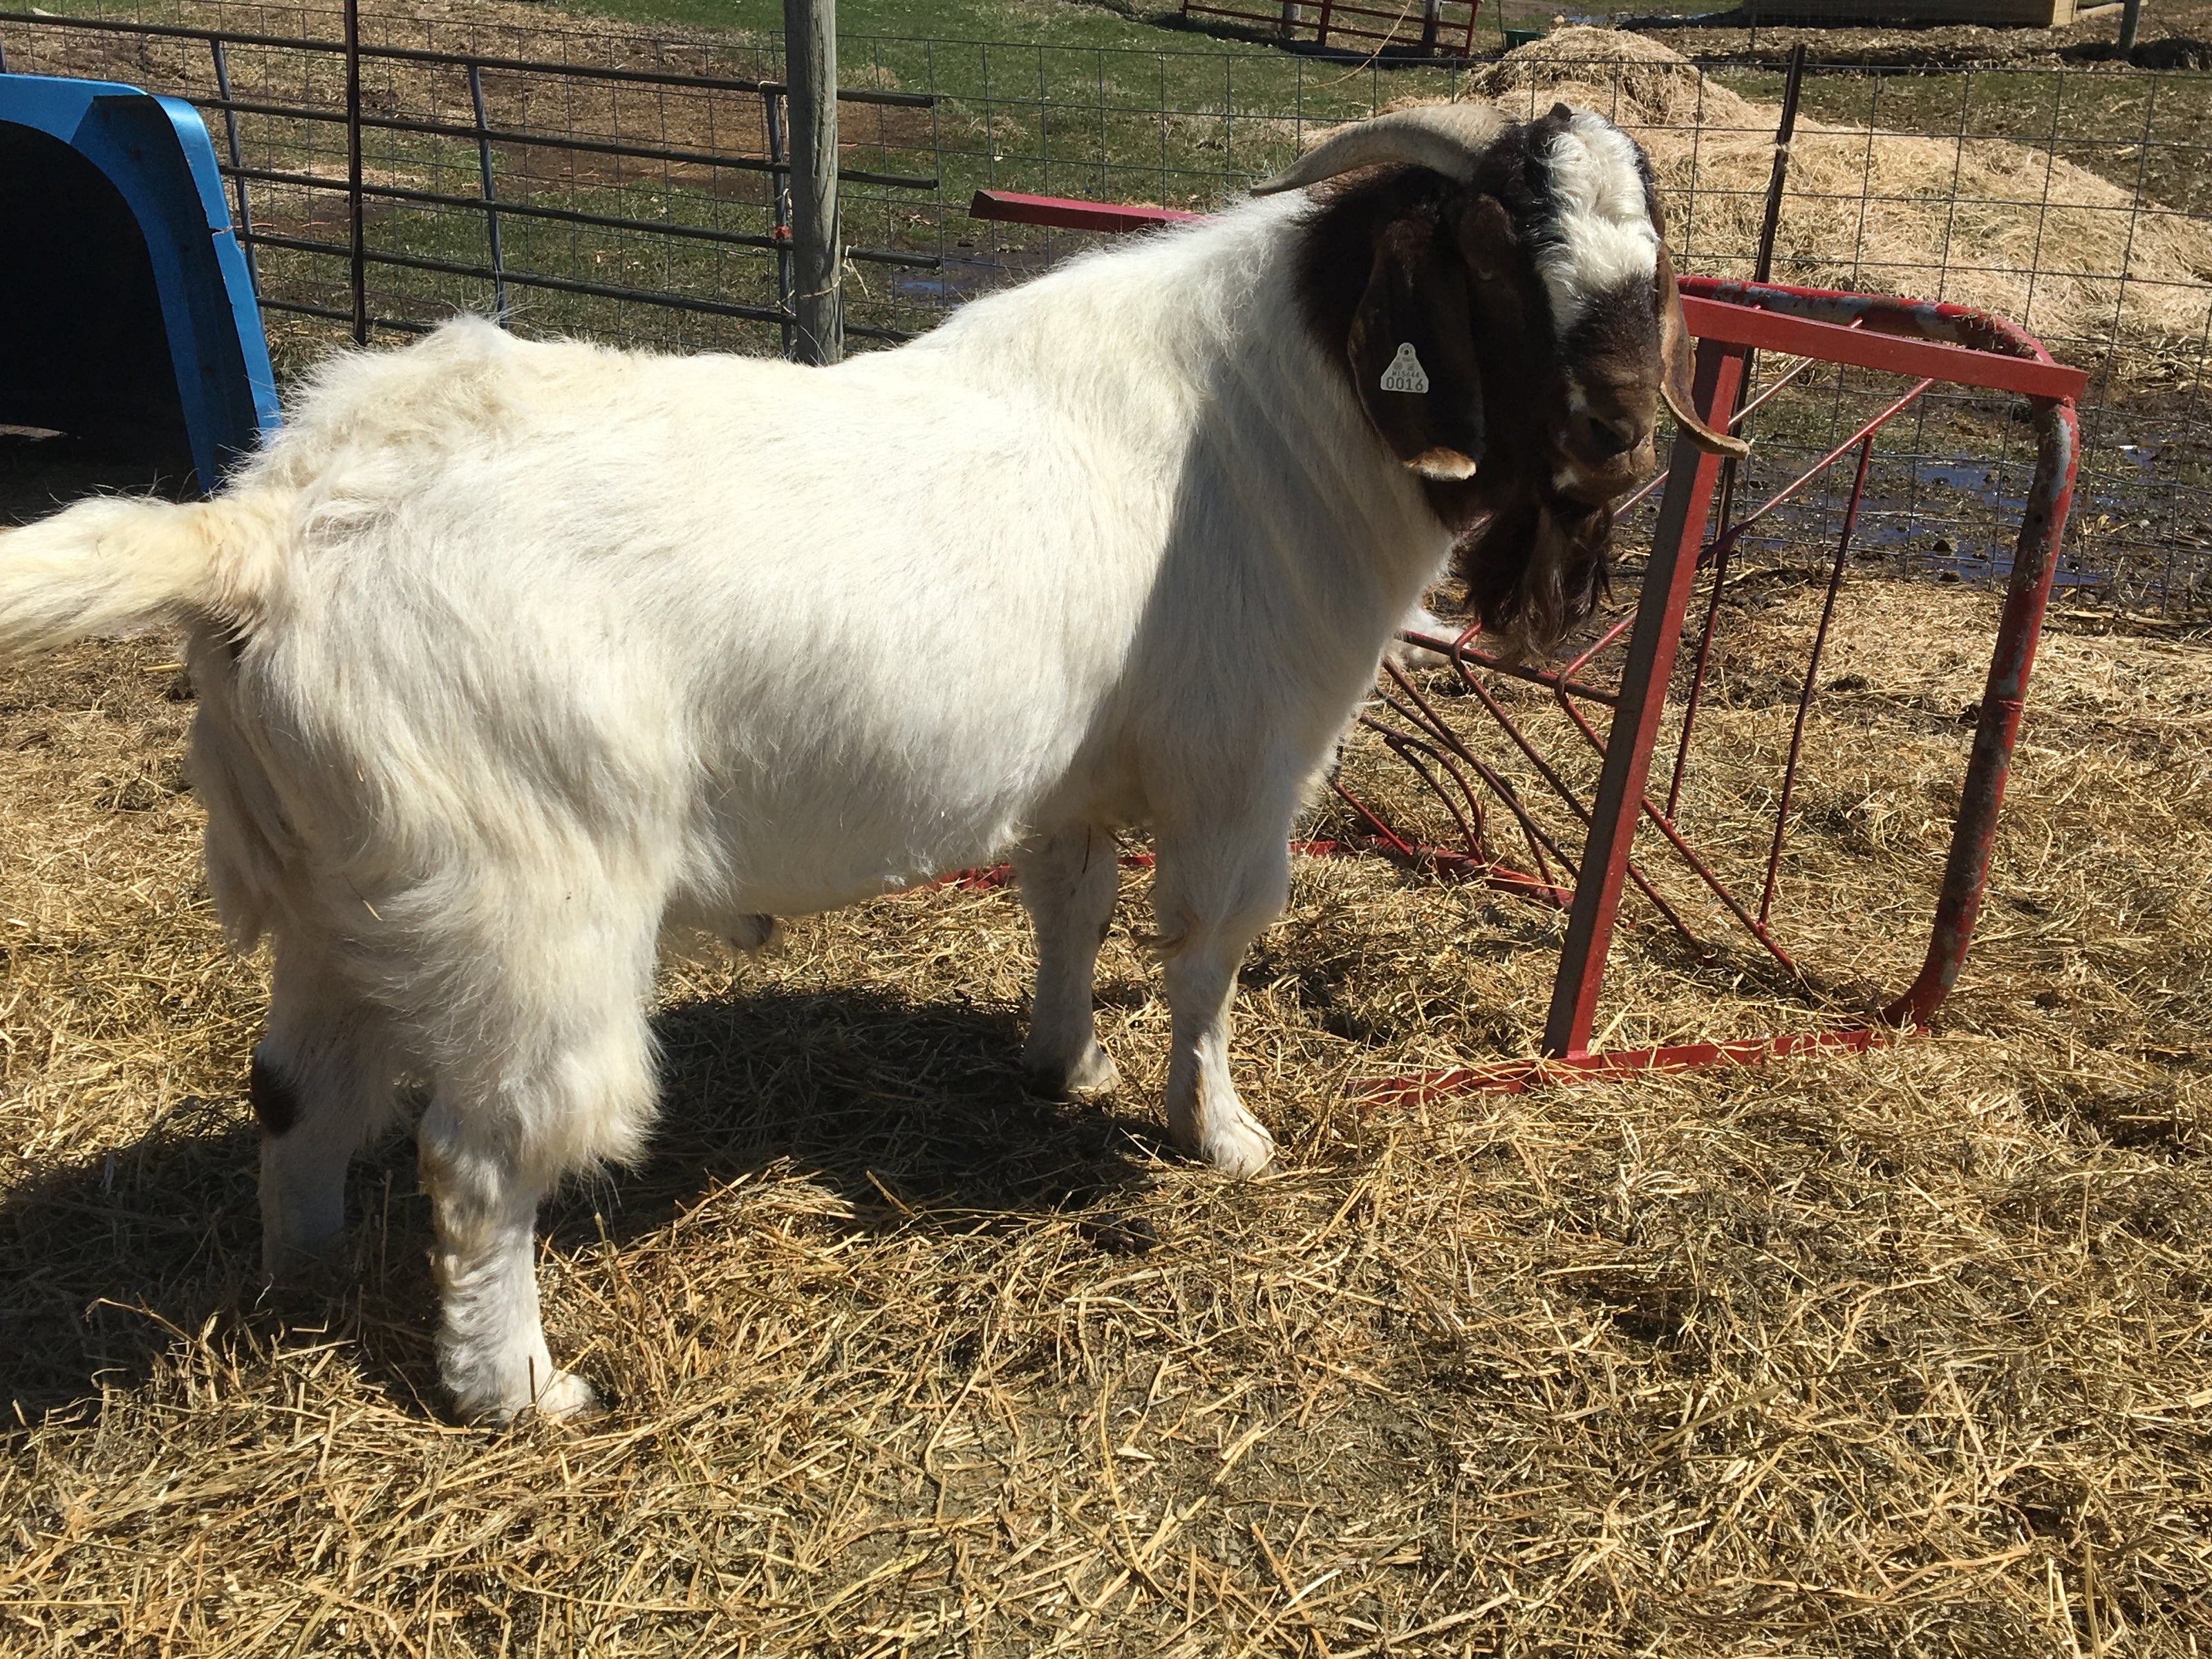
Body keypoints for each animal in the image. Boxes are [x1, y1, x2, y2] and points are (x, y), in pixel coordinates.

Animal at [0, 100, 1741, 1423]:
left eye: (1655, 263)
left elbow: (1069, 908)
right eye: (1495, 253)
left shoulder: (1078, 772)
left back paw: (298, 1275)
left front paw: (1063, 1062)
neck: (1267, 416)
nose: (1618, 445)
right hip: (525, 904)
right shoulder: (1240, 770)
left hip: (331, 884)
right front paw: (1219, 1136)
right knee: (483, 1153)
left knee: (296, 1086)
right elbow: (1203, 960)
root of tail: (266, 535)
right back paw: (521, 1389)